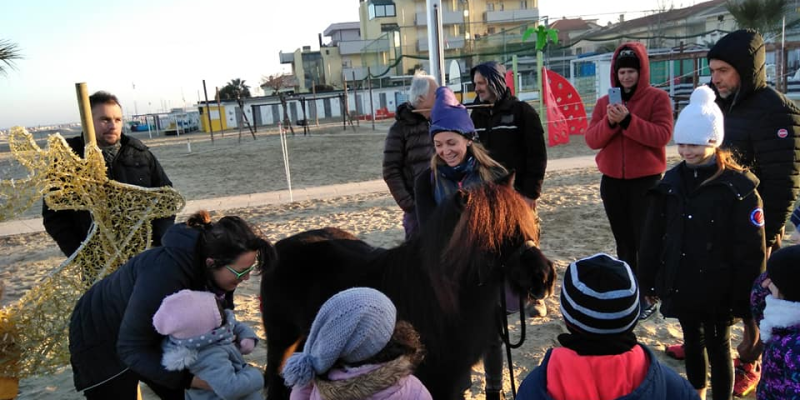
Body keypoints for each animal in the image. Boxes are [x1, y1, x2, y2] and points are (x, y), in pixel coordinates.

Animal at [260, 177, 552, 398]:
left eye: (534, 226)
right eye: (492, 237)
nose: (544, 277)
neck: (435, 298)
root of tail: (278, 247)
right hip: (282, 341)